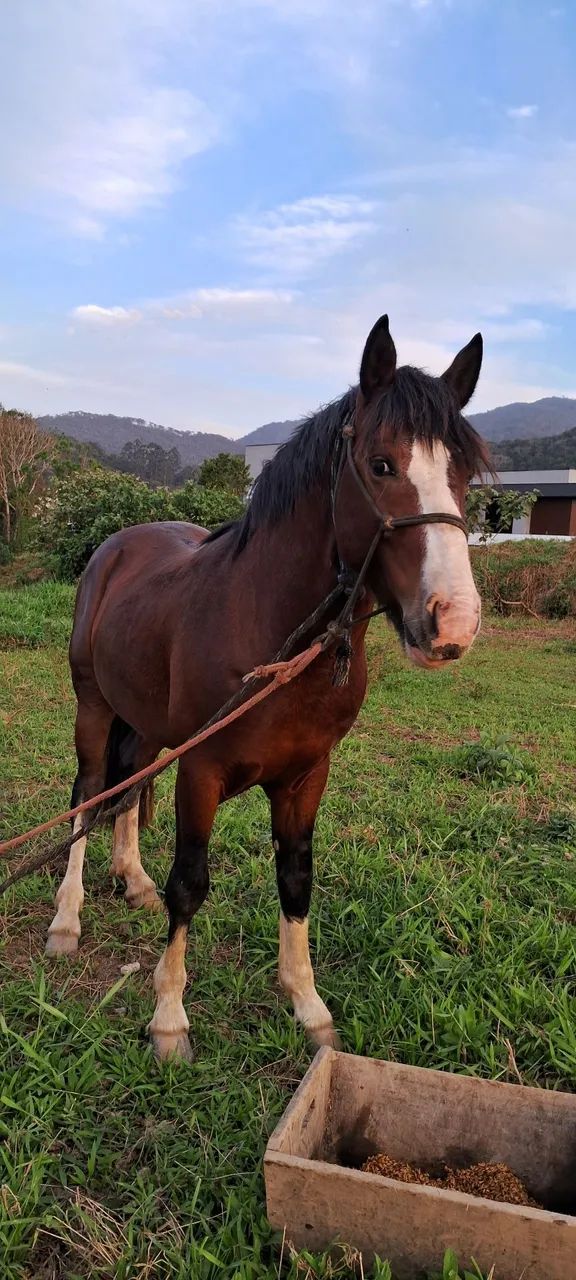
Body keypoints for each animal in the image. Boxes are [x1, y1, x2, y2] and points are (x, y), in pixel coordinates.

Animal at [46, 315, 489, 1060]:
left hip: (148, 723)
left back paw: (130, 880)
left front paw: (307, 1005)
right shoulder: (200, 769)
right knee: (89, 795)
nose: (452, 620)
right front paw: (169, 1018)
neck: (271, 631)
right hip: (95, 708)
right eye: (381, 465)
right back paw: (67, 919)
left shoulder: (306, 775)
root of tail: (117, 545)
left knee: (129, 786)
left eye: (463, 472)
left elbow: (296, 878)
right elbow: (190, 883)